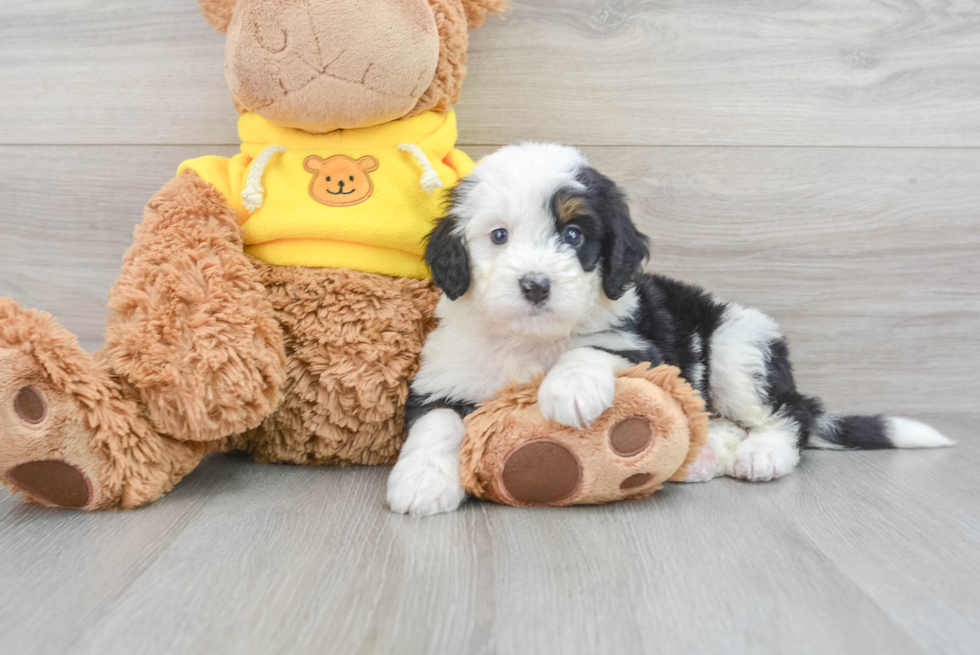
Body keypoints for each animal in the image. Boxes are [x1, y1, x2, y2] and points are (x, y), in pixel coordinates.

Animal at [386, 142, 952, 516]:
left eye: (573, 234)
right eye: (498, 236)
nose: (535, 285)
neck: (531, 340)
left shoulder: (644, 342)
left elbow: (593, 349)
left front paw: (569, 388)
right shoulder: (444, 373)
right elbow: (437, 424)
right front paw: (421, 482)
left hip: (737, 343)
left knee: (788, 412)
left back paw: (763, 453)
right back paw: (704, 456)